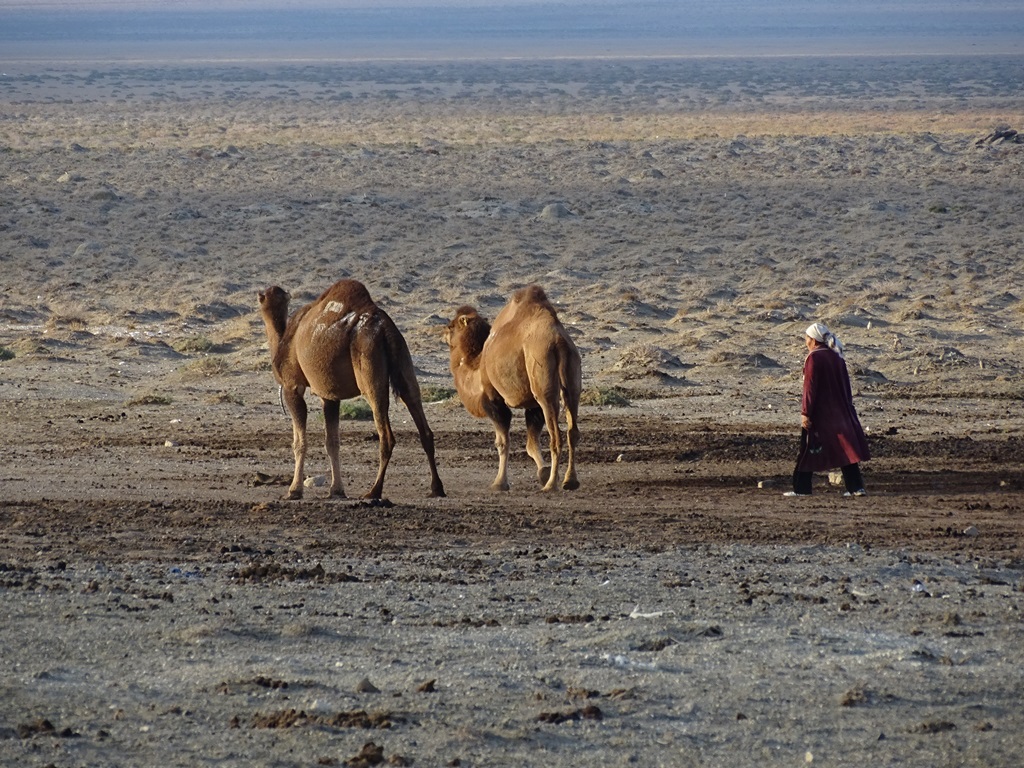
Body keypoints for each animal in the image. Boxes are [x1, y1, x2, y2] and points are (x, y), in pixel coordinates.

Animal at [256, 280, 444, 501]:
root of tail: (385, 329)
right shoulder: (329, 394)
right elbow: (332, 442)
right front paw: (337, 490)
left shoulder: (291, 386)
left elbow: (299, 442)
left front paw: (294, 490)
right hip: (403, 360)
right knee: (422, 423)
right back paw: (436, 488)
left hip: (368, 362)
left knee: (386, 435)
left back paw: (374, 491)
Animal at [444, 284, 581, 493]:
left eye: (451, 326)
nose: (443, 331)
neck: (478, 364)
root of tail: (559, 341)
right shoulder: (532, 405)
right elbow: (531, 444)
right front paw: (543, 472)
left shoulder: (492, 397)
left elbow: (502, 442)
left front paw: (499, 483)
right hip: (573, 380)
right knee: (572, 430)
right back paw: (569, 481)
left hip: (544, 384)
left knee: (556, 436)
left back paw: (551, 485)